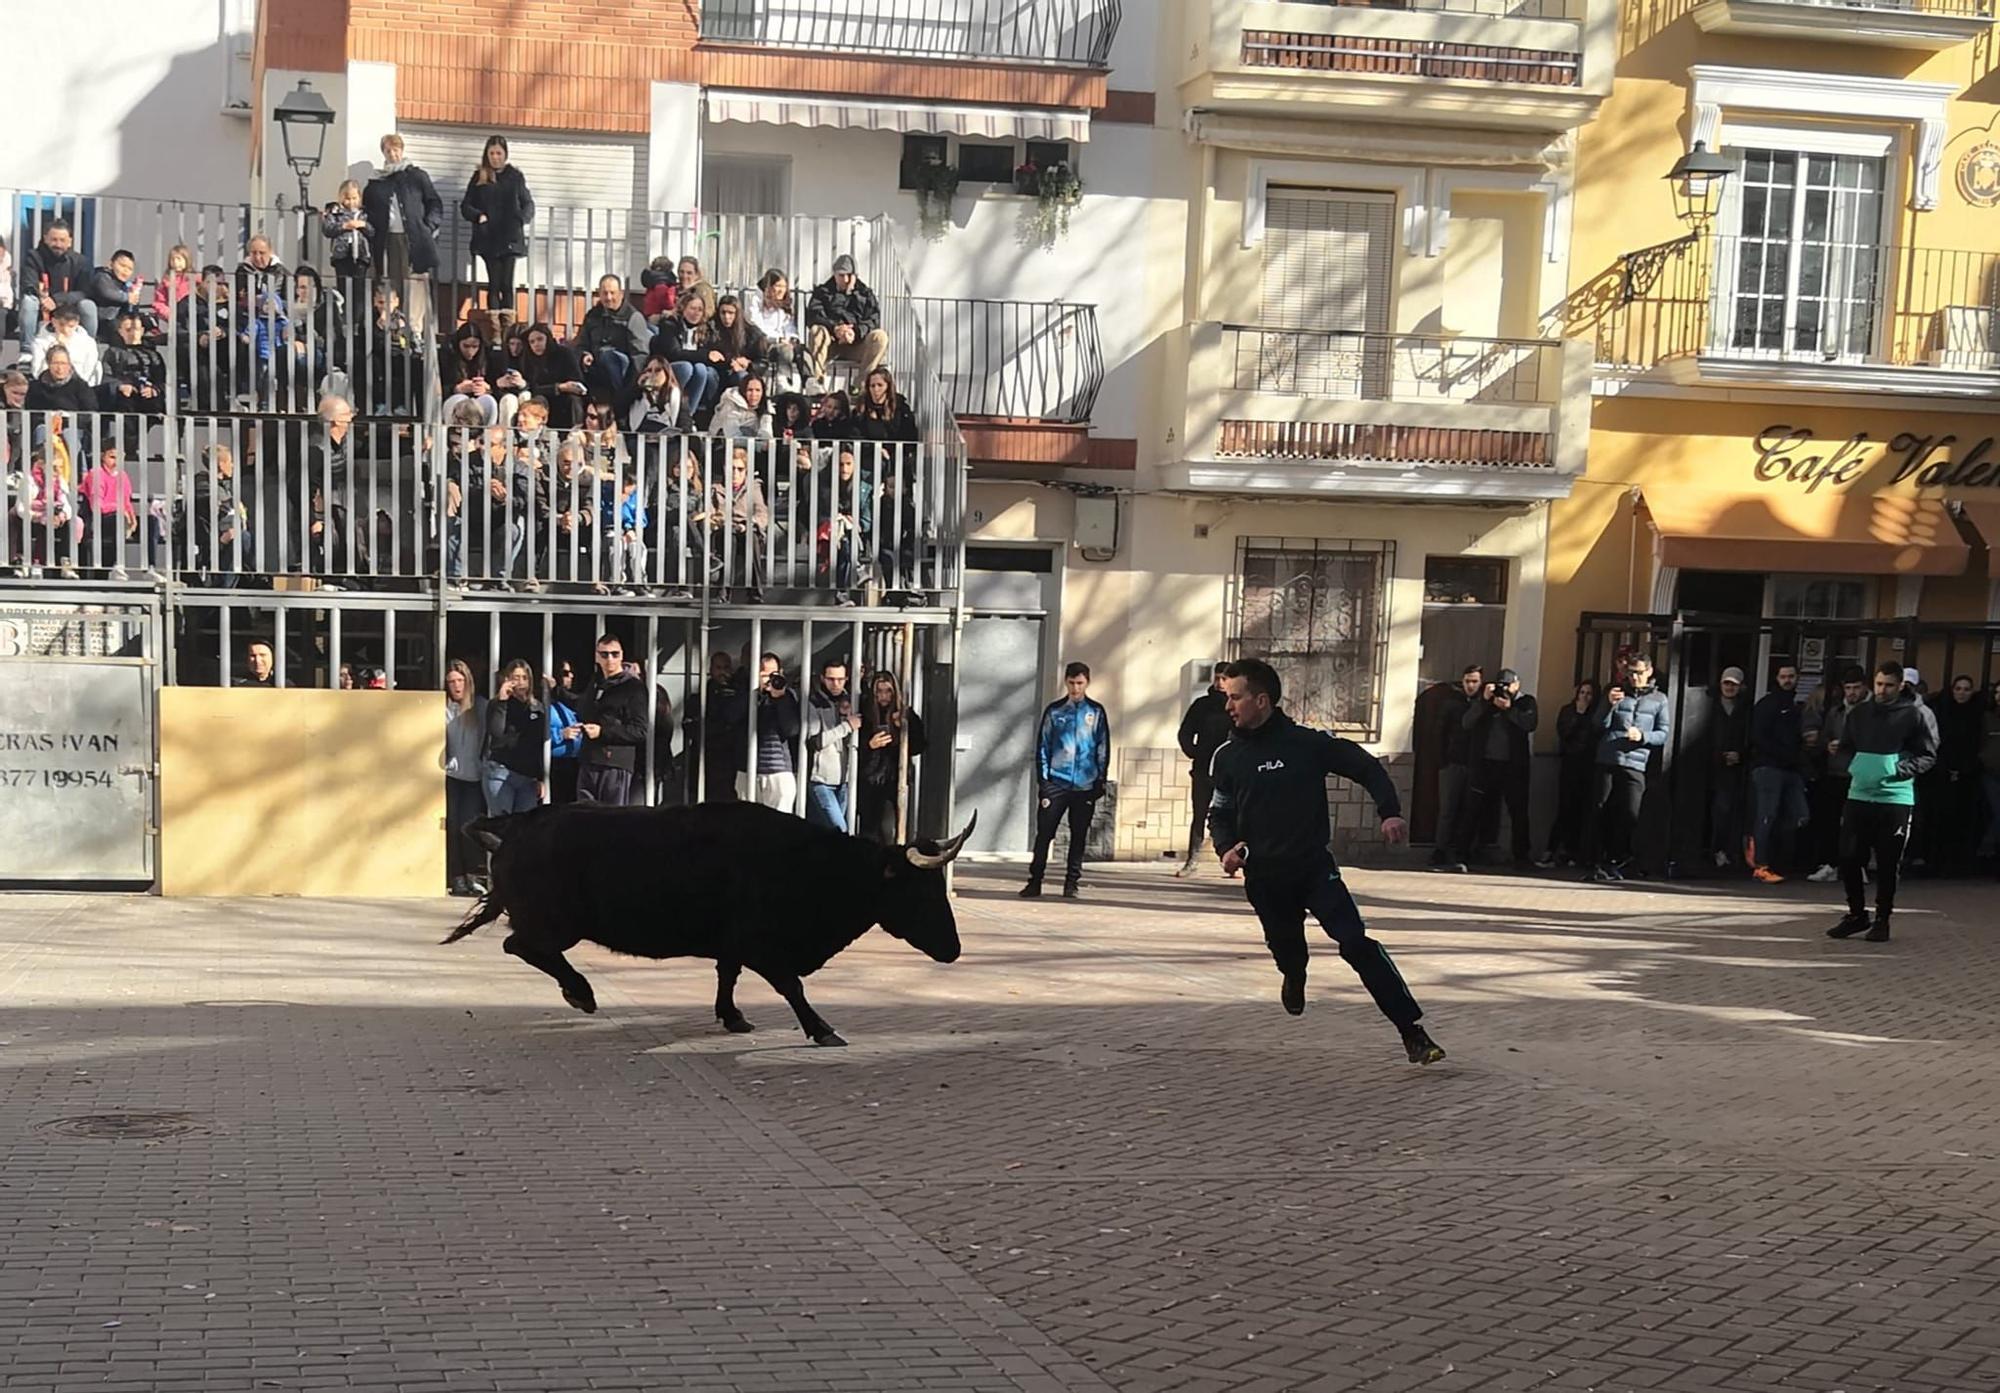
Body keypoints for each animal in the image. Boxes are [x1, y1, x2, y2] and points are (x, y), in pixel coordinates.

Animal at [446, 792, 976, 1040]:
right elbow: (791, 987)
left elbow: (728, 974)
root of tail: (522, 822)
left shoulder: (735, 943)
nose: (954, 950)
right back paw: (581, 992)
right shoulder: (764, 945)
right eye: (918, 890)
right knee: (521, 945)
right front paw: (822, 1029)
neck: (810, 865)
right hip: (555, 923)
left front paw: (733, 1016)